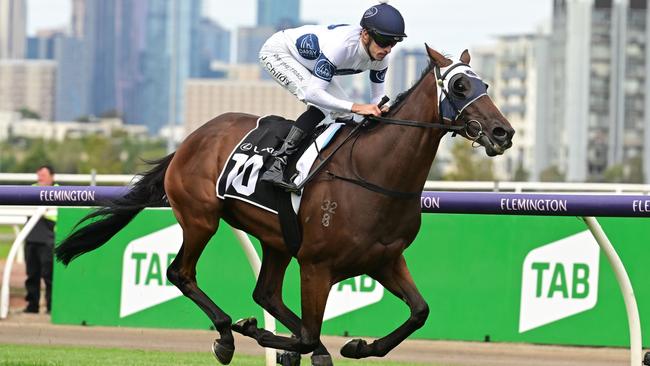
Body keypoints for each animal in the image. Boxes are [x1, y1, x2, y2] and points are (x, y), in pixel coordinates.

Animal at [55, 45, 512, 366]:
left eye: (486, 86)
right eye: (459, 87)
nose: (502, 132)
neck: (374, 173)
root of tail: (189, 140)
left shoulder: (385, 259)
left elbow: (419, 312)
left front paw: (357, 346)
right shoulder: (317, 266)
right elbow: (309, 332)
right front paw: (268, 337)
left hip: (275, 238)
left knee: (267, 293)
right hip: (201, 219)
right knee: (180, 273)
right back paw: (227, 334)